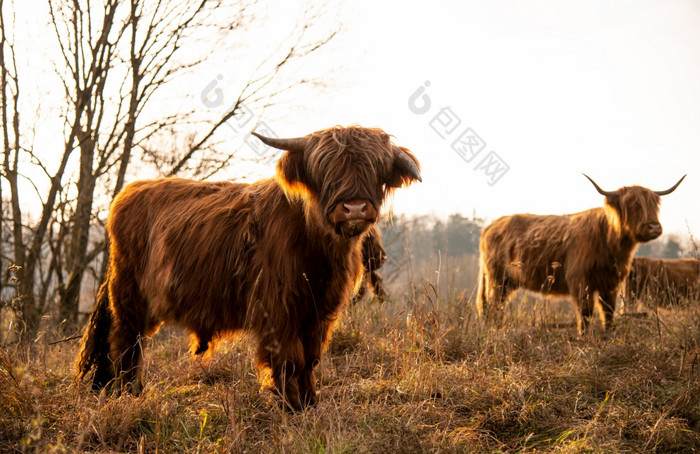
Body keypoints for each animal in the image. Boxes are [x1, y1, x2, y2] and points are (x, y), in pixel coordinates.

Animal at [75, 126, 422, 410]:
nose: (354, 208)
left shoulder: (319, 310)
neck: (316, 247)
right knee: (125, 343)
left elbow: (310, 359)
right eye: (325, 170)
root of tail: (127, 193)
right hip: (129, 295)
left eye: (376, 168)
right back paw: (129, 394)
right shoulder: (277, 308)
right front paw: (290, 406)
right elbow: (289, 360)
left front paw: (310, 403)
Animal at [476, 174, 684, 334]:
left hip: (507, 282)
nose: (654, 227)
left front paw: (609, 334)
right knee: (495, 306)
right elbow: (585, 312)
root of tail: (491, 226)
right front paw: (584, 337)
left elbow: (608, 311)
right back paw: (496, 331)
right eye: (633, 205)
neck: (610, 243)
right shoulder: (579, 279)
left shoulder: (611, 283)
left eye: (655, 205)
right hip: (497, 279)